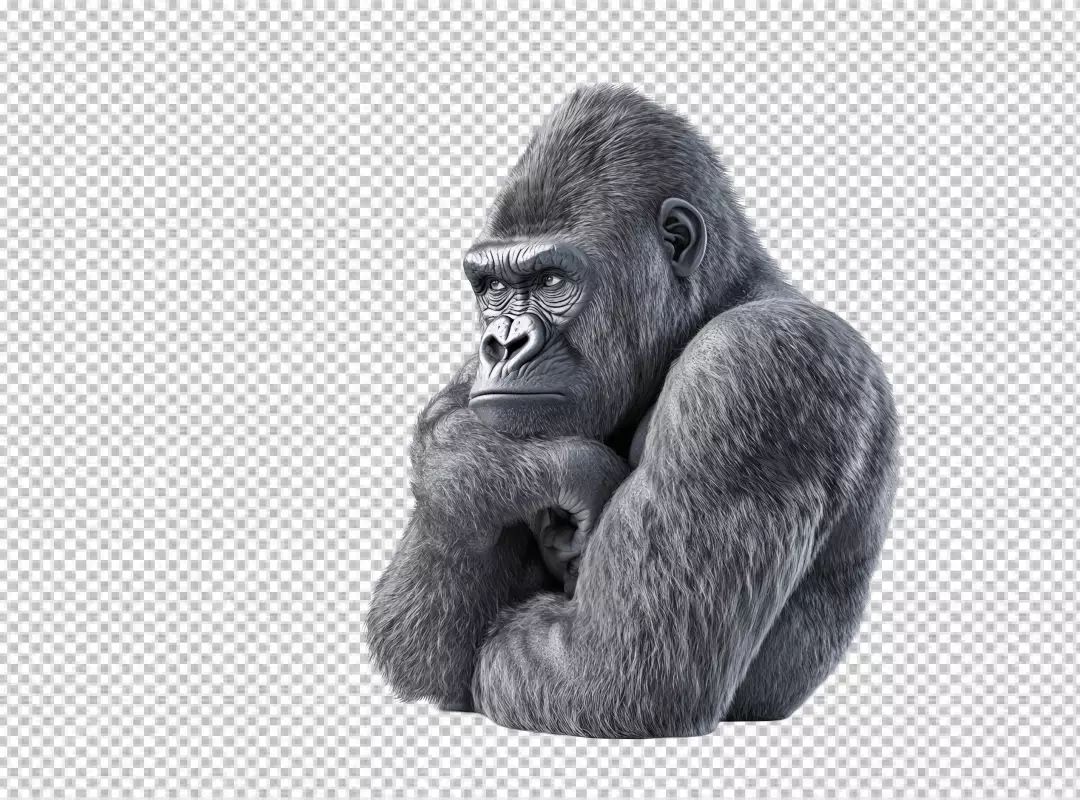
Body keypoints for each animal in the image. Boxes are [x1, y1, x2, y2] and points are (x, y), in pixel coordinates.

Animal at [366, 84, 899, 736]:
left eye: (551, 280)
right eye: (492, 288)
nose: (501, 343)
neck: (714, 301)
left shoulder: (755, 364)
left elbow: (611, 678)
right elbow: (420, 653)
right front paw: (493, 464)